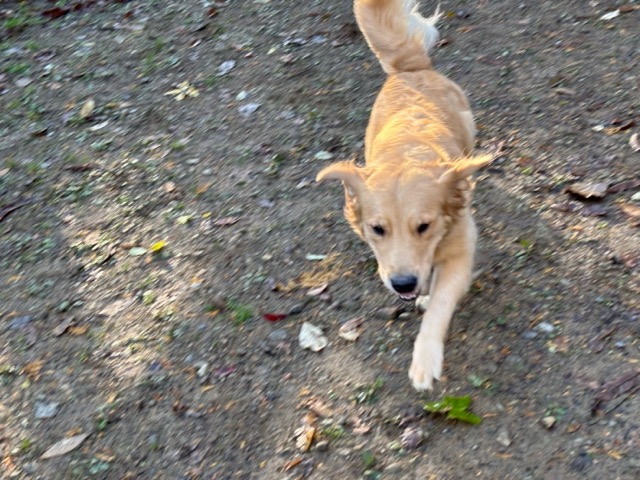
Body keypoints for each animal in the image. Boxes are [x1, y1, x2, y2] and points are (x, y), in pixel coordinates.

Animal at [316, 0, 492, 390]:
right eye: (377, 229)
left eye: (423, 226)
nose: (402, 284)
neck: (408, 154)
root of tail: (409, 68)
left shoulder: (461, 249)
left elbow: (441, 304)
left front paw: (425, 360)